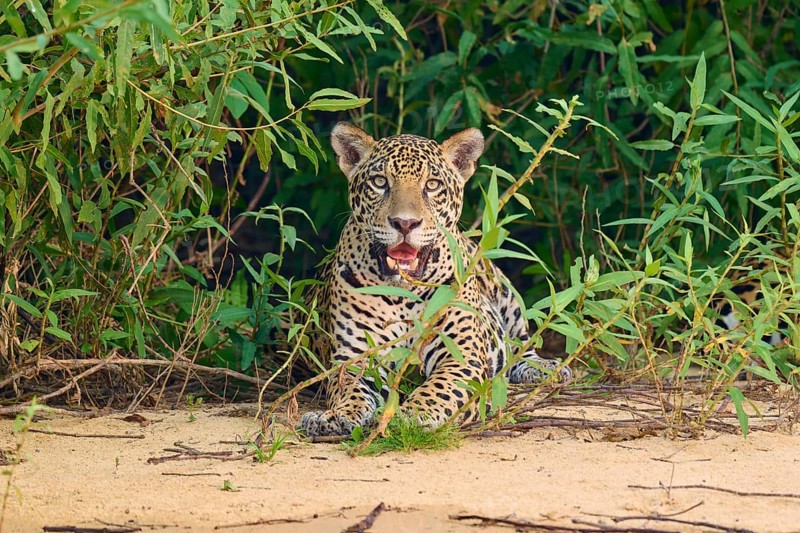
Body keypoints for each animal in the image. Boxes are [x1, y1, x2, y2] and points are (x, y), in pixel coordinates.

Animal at [298, 123, 572, 437]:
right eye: (379, 182)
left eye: (432, 185)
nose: (405, 223)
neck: (402, 292)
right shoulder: (356, 355)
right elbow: (349, 388)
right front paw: (334, 416)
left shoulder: (460, 354)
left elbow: (437, 390)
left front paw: (409, 416)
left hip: (504, 293)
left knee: (520, 347)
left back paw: (549, 368)